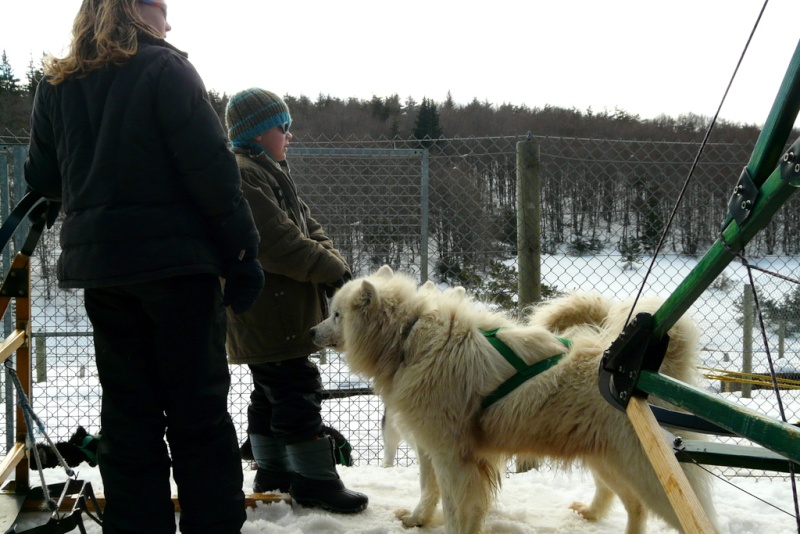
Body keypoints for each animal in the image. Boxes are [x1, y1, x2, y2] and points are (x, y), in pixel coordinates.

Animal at [310, 266, 716, 532]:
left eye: (336, 314)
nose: (311, 331)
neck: (407, 338)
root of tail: (656, 370)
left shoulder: (452, 456)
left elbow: (455, 507)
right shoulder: (432, 450)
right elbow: (428, 491)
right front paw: (416, 520)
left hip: (654, 475)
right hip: (609, 462)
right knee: (633, 507)